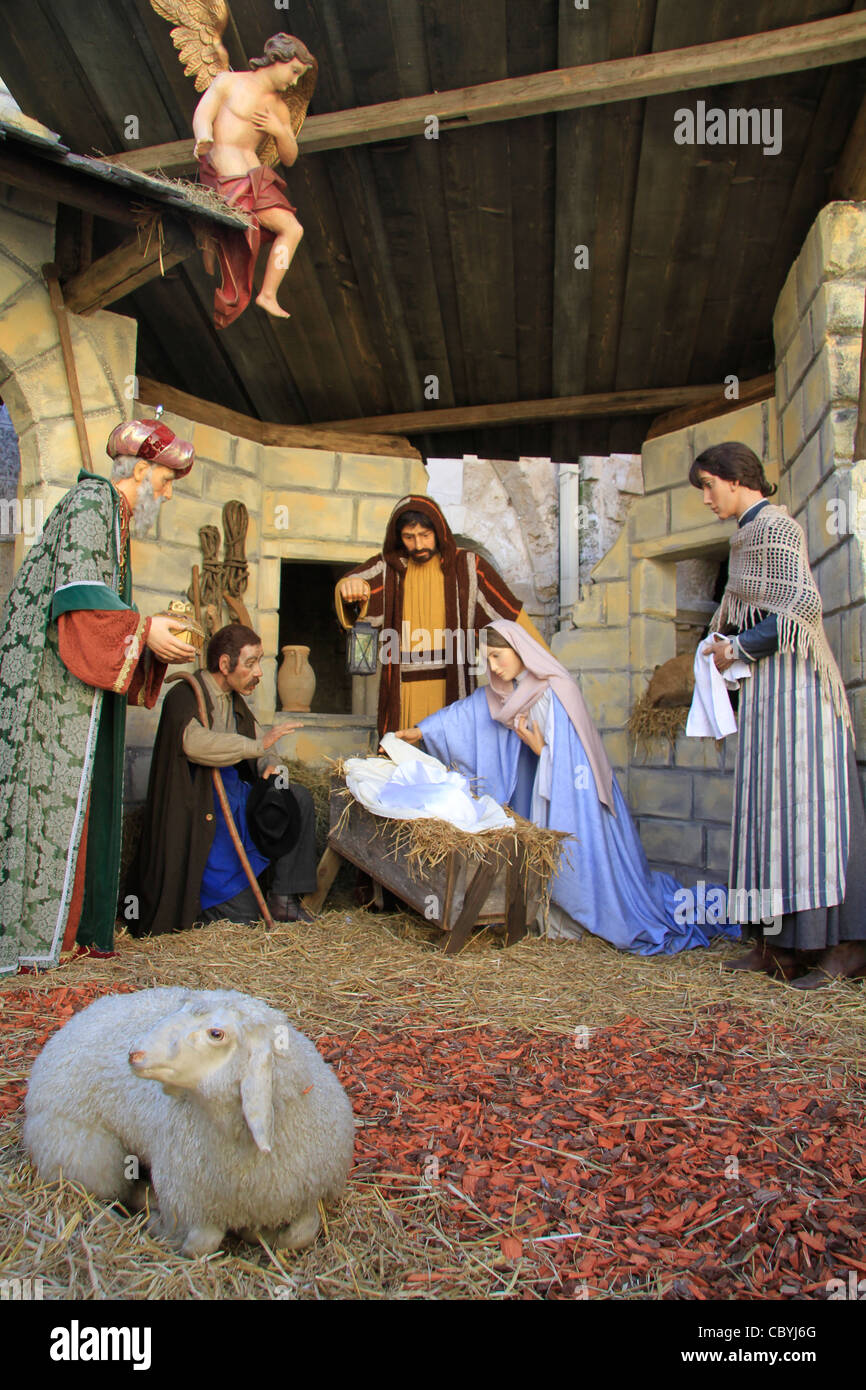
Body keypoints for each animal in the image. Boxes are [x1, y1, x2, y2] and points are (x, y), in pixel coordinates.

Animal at [23, 989, 355, 1262]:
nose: (134, 1053)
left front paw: (262, 1233)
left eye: (216, 1034)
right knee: (100, 1191)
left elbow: (300, 1234)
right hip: (84, 1150)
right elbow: (199, 1245)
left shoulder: (306, 1194)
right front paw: (160, 1225)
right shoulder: (191, 1203)